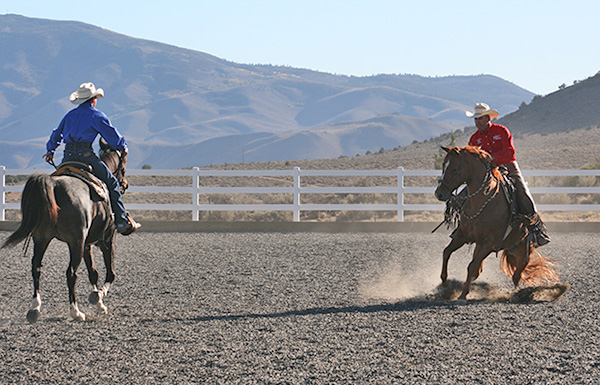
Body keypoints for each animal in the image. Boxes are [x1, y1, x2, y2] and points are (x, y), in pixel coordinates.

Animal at [0, 140, 127, 322]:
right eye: (122, 168)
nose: (124, 185)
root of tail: (54, 185)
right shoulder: (106, 240)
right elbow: (110, 273)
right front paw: (99, 296)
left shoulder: (87, 245)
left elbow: (93, 273)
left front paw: (98, 303)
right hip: (75, 242)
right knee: (71, 273)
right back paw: (76, 311)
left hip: (42, 238)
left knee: (36, 268)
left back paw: (34, 308)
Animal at [432, 146, 556, 302]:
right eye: (443, 166)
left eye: (455, 169)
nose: (439, 193)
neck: (482, 202)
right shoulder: (462, 235)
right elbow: (446, 252)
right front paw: (445, 283)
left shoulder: (489, 243)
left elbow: (471, 266)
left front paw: (463, 295)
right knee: (480, 270)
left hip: (523, 250)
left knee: (519, 271)